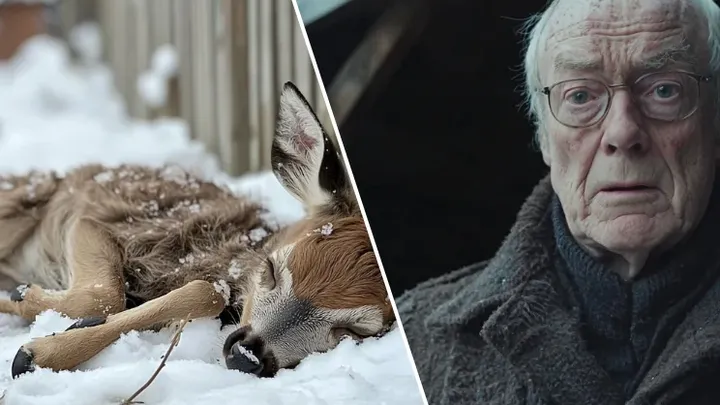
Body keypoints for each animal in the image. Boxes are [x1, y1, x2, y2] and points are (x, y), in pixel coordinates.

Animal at [0, 82, 395, 379]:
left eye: (357, 331)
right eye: (270, 269)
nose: (247, 355)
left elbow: (204, 292)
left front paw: (47, 343)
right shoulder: (91, 217)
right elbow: (111, 296)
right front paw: (32, 337)